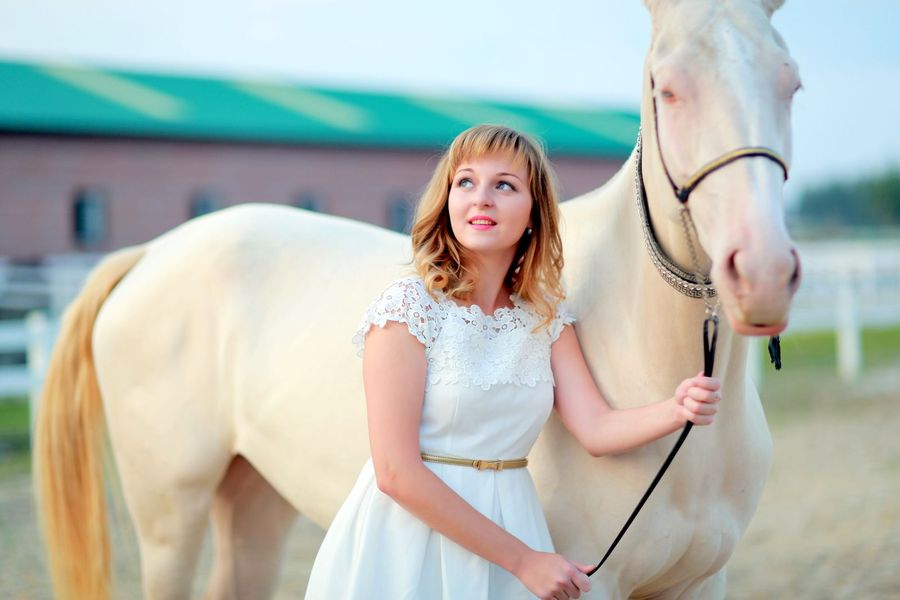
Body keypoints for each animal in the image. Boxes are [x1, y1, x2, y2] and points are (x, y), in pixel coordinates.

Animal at [33, 0, 800, 596]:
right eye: (666, 88)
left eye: (791, 83)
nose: (761, 271)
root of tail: (151, 254)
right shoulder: (593, 580)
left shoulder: (698, 583)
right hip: (170, 515)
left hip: (251, 496)